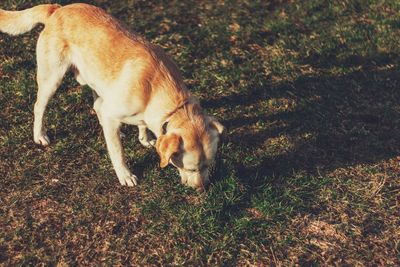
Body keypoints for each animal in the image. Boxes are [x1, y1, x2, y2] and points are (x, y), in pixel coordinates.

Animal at [0, 3, 223, 192]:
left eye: (208, 165)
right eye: (192, 168)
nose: (202, 189)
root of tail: (57, 9)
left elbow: (141, 125)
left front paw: (144, 139)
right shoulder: (111, 113)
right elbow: (118, 152)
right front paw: (125, 175)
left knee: (96, 103)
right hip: (51, 79)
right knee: (39, 107)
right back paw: (40, 135)